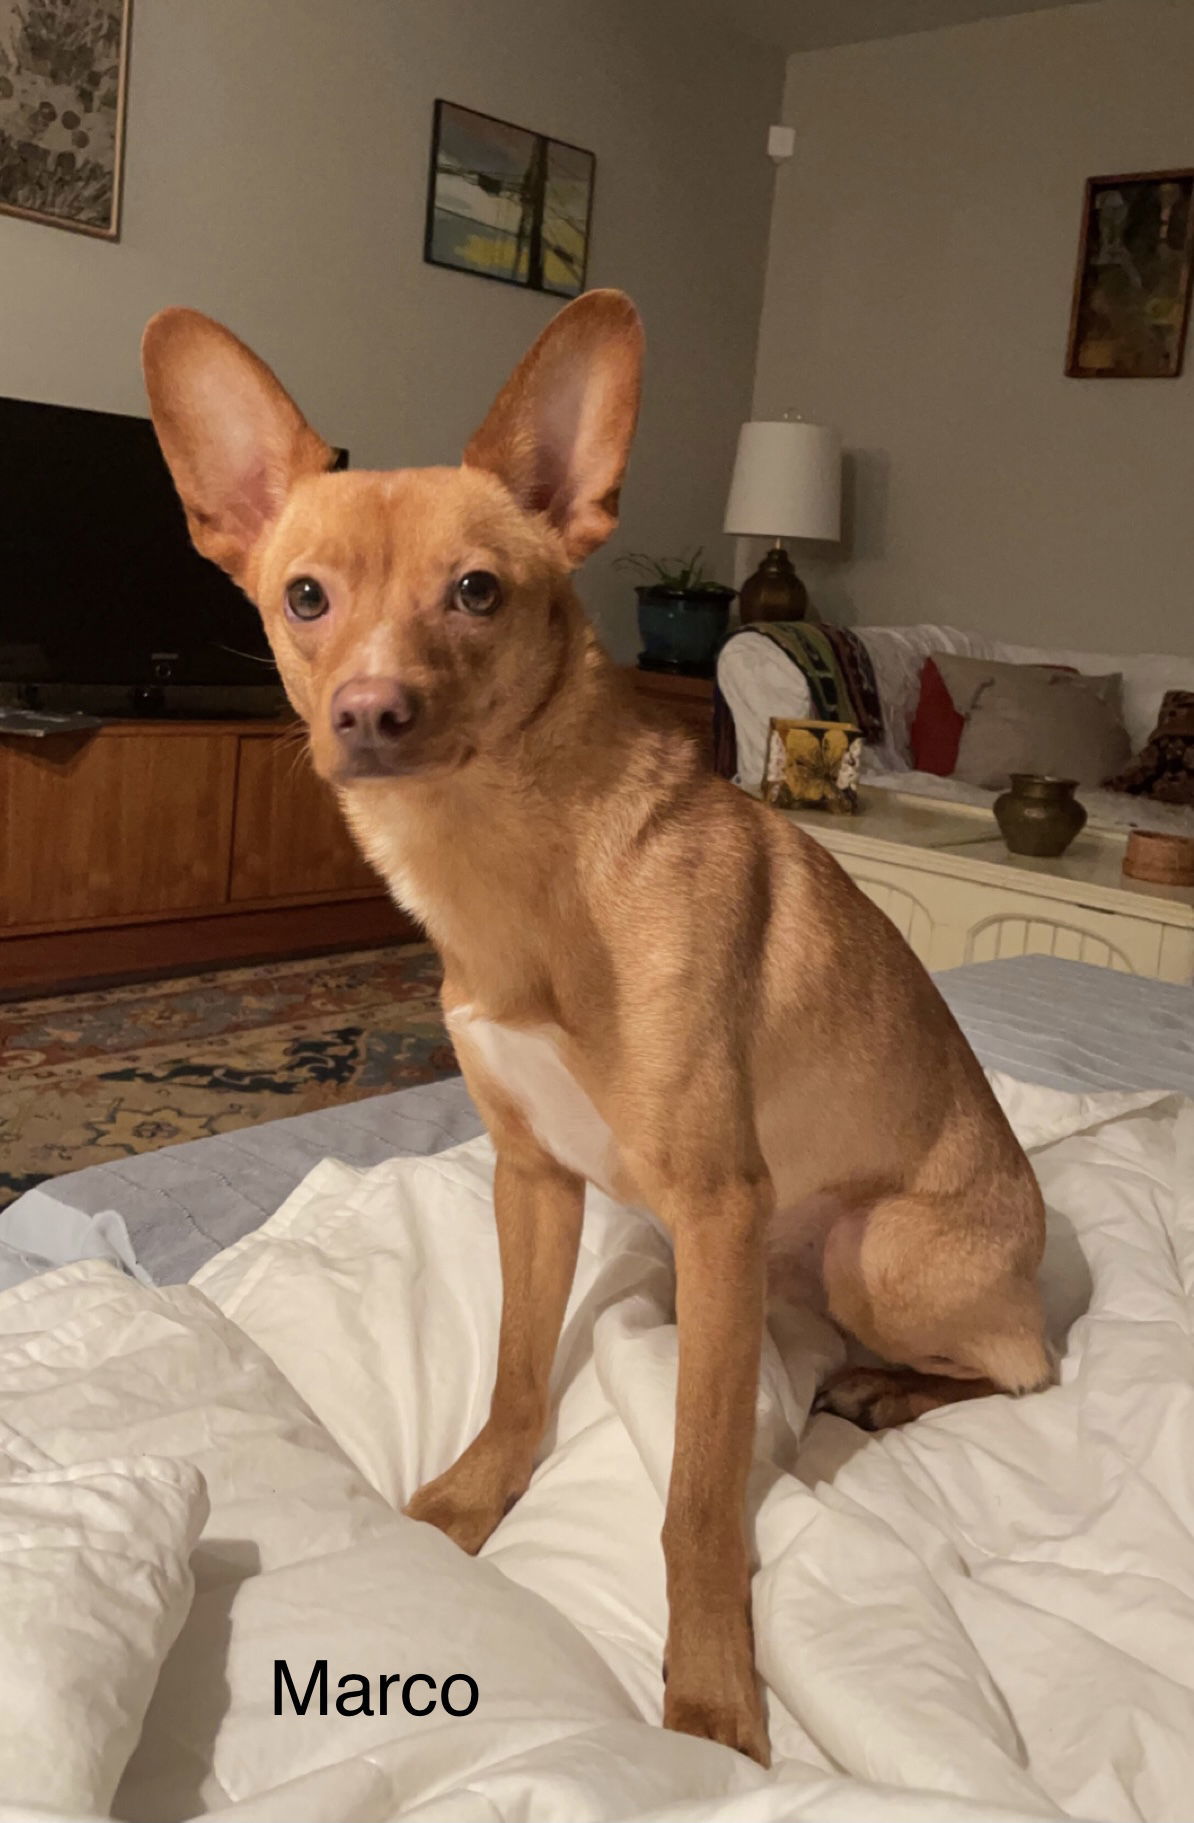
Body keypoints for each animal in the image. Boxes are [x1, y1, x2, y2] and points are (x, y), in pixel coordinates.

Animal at [144, 288, 1049, 1764]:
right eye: (302, 596)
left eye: (477, 590)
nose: (368, 713)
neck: (511, 865)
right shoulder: (531, 1177)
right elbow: (519, 1374)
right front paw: (472, 1498)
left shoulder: (720, 1200)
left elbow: (694, 1499)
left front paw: (712, 1691)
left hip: (883, 1253)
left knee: (1022, 1369)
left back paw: (888, 1391)